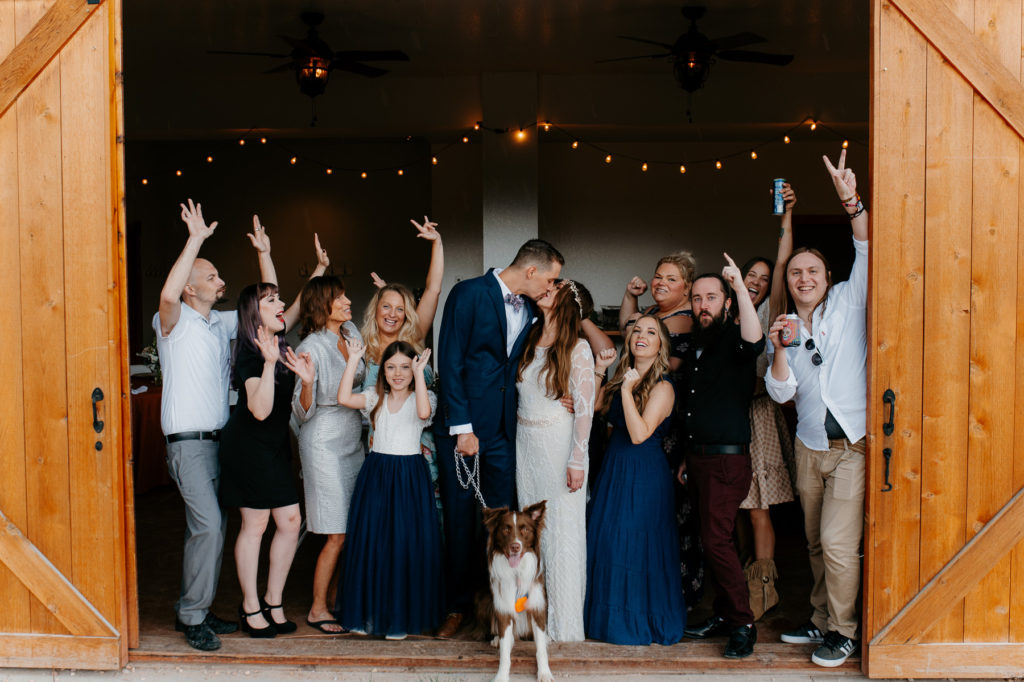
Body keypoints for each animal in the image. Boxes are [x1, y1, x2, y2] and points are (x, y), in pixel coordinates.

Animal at [479, 499, 552, 679]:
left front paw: (544, 673)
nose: (515, 547)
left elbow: (541, 649)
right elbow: (505, 653)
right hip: (484, 599)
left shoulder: (537, 605)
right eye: (506, 529)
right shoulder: (503, 608)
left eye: (525, 529)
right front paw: (501, 676)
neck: (517, 571)